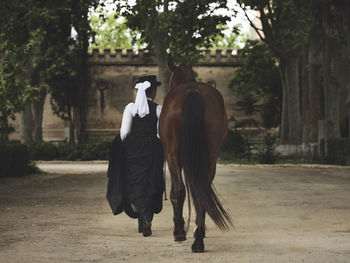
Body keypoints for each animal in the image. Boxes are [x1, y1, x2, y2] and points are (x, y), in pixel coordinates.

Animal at [159, 65, 232, 253]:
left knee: (179, 190)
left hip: (173, 156)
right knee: (202, 192)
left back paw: (182, 233)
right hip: (210, 157)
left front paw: (180, 230)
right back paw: (198, 239)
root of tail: (193, 91)